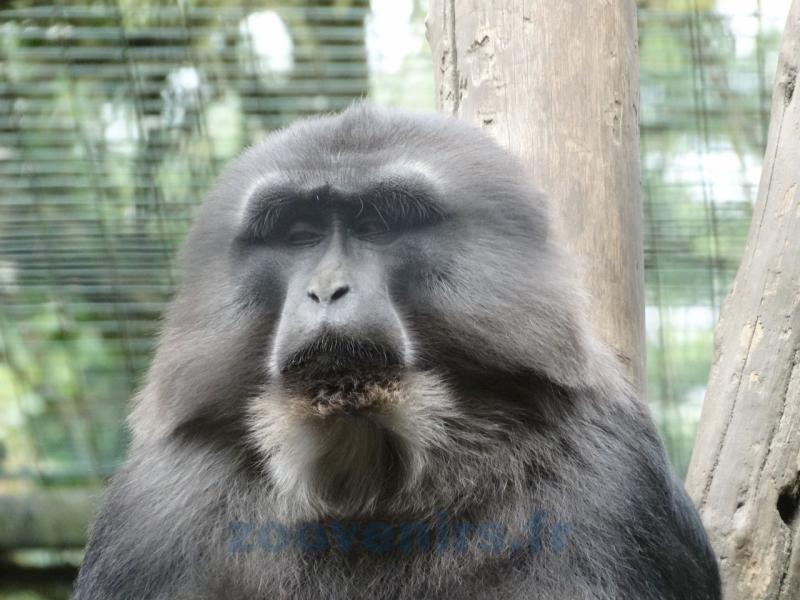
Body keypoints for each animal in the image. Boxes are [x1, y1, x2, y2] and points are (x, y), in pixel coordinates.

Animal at [75, 104, 721, 600]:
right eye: (300, 234)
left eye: (379, 226)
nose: (327, 290)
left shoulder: (616, 477)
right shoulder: (151, 509)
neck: (365, 476)